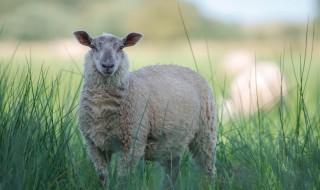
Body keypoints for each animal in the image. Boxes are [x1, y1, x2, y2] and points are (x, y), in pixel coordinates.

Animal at [73, 30, 218, 189]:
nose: (108, 65)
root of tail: (185, 68)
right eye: (92, 46)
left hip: (205, 131)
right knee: (172, 169)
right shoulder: (94, 145)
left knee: (207, 166)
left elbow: (123, 178)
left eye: (121, 47)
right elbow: (102, 177)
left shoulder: (132, 144)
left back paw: (209, 184)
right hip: (172, 140)